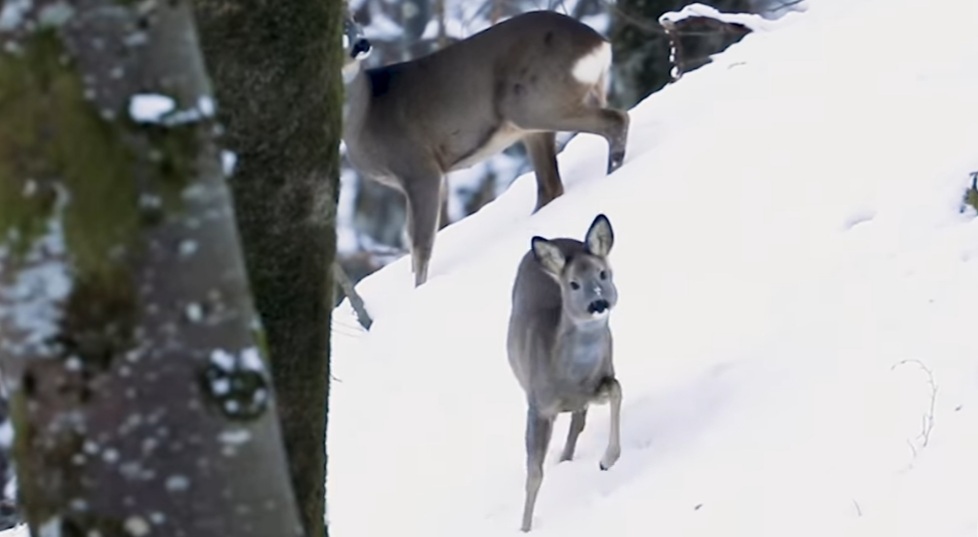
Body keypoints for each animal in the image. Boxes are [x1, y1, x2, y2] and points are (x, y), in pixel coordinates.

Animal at [340, 11, 628, 284]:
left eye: (354, 18)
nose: (362, 43)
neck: (365, 116)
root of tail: (598, 42)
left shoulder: (419, 168)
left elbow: (419, 243)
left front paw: (418, 292)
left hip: (534, 103)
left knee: (617, 120)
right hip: (535, 121)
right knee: (550, 186)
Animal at [508, 214, 620, 532]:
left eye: (603, 273)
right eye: (573, 284)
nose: (598, 303)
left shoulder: (602, 376)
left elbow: (616, 389)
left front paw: (607, 459)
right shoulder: (538, 406)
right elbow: (534, 474)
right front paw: (524, 528)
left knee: (578, 422)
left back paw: (568, 458)